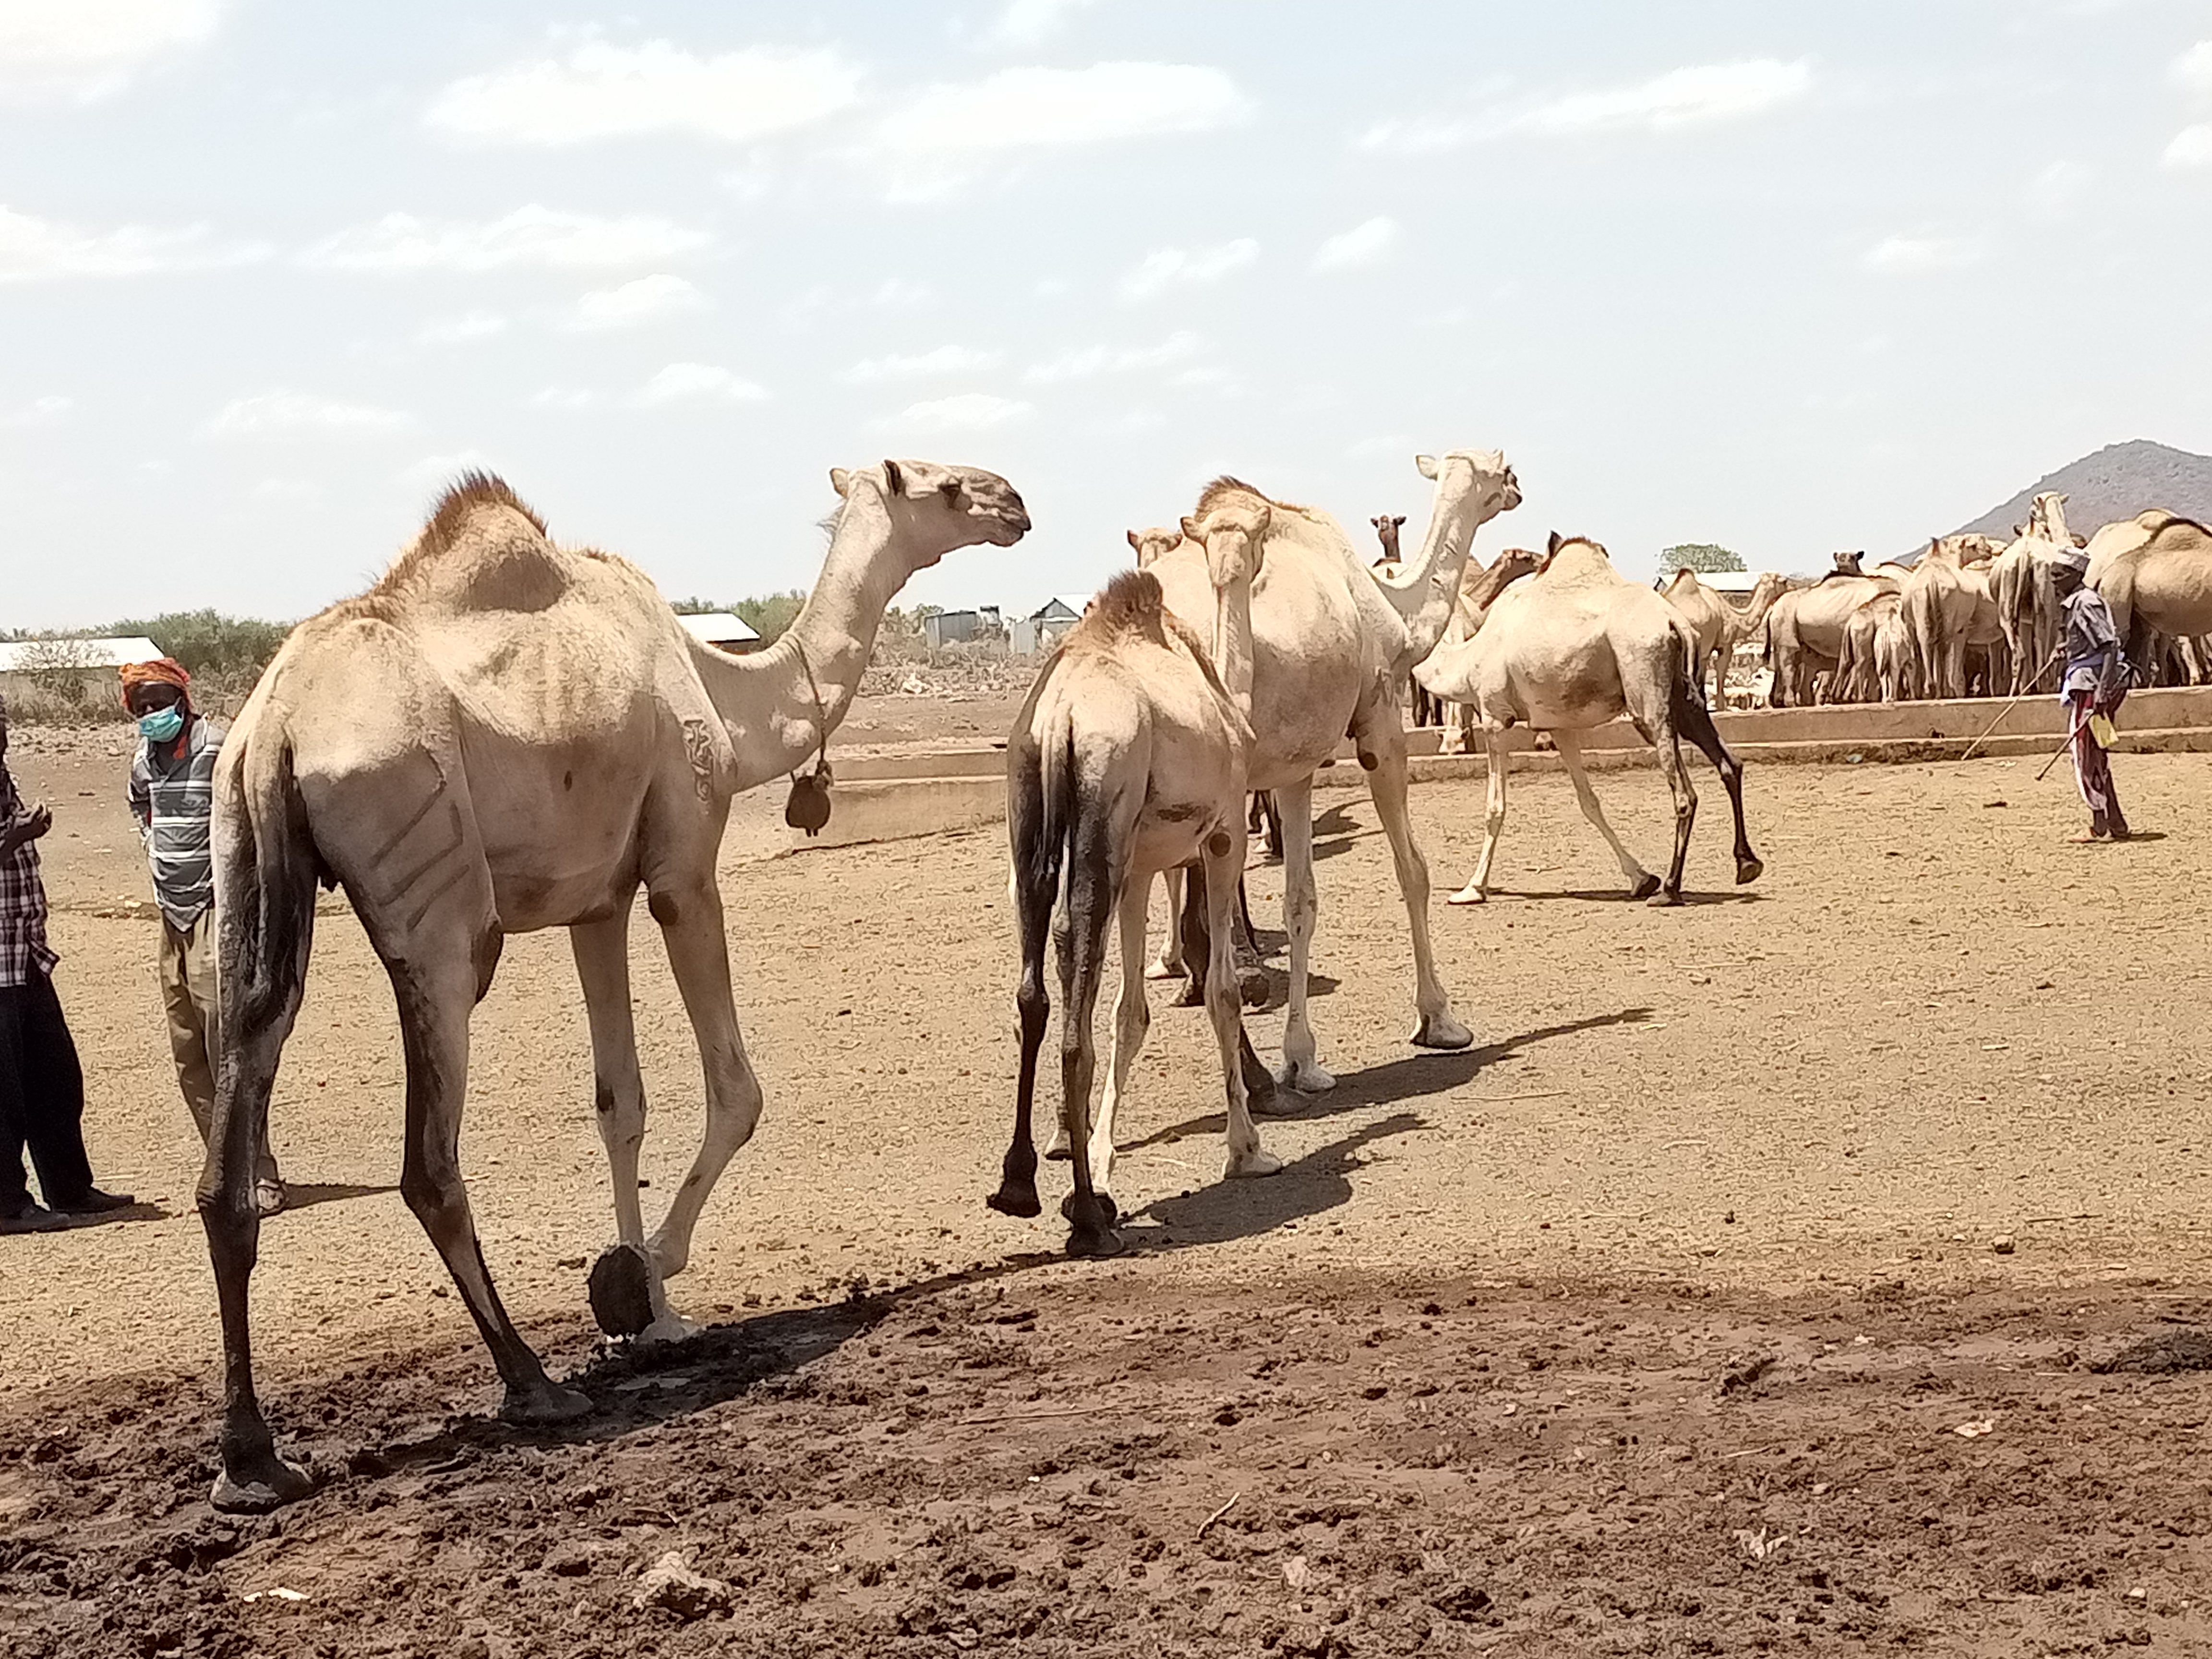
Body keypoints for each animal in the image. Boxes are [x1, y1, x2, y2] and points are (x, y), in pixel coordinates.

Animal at [197, 461, 1029, 1512]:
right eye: (944, 485)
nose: (1017, 503)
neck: (723, 687)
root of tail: (276, 726)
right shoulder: (681, 866)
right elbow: (736, 1089)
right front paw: (637, 1283)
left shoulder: (594, 901)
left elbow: (618, 1102)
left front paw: (649, 1317)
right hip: (436, 912)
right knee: (429, 1164)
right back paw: (533, 1386)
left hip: (243, 868)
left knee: (234, 1123)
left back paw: (252, 1462)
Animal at [993, 513, 1280, 1256]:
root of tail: (1061, 719)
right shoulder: (1222, 833)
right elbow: (1221, 986)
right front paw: (1248, 1148)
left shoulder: (1144, 866)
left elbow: (1133, 1010)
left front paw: (1099, 1152)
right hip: (1108, 813)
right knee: (1076, 967)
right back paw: (1090, 1219)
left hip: (1032, 817)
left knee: (1035, 987)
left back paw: (1020, 1185)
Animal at [1144, 450, 1520, 1092]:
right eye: (1503, 468)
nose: (1519, 490)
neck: (1395, 611)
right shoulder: (1380, 720)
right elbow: (1413, 870)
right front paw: (1439, 1020)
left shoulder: (1295, 766)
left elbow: (1301, 900)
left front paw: (1303, 1059)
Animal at [1413, 533, 1762, 906]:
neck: (1466, 660)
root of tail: (1676, 622)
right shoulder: (1558, 725)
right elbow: (1589, 801)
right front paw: (1641, 879)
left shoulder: (1495, 717)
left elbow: (1495, 807)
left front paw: (1472, 888)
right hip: (1687, 696)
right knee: (1731, 763)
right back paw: (1746, 865)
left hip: (1647, 693)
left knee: (1685, 793)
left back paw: (1670, 889)